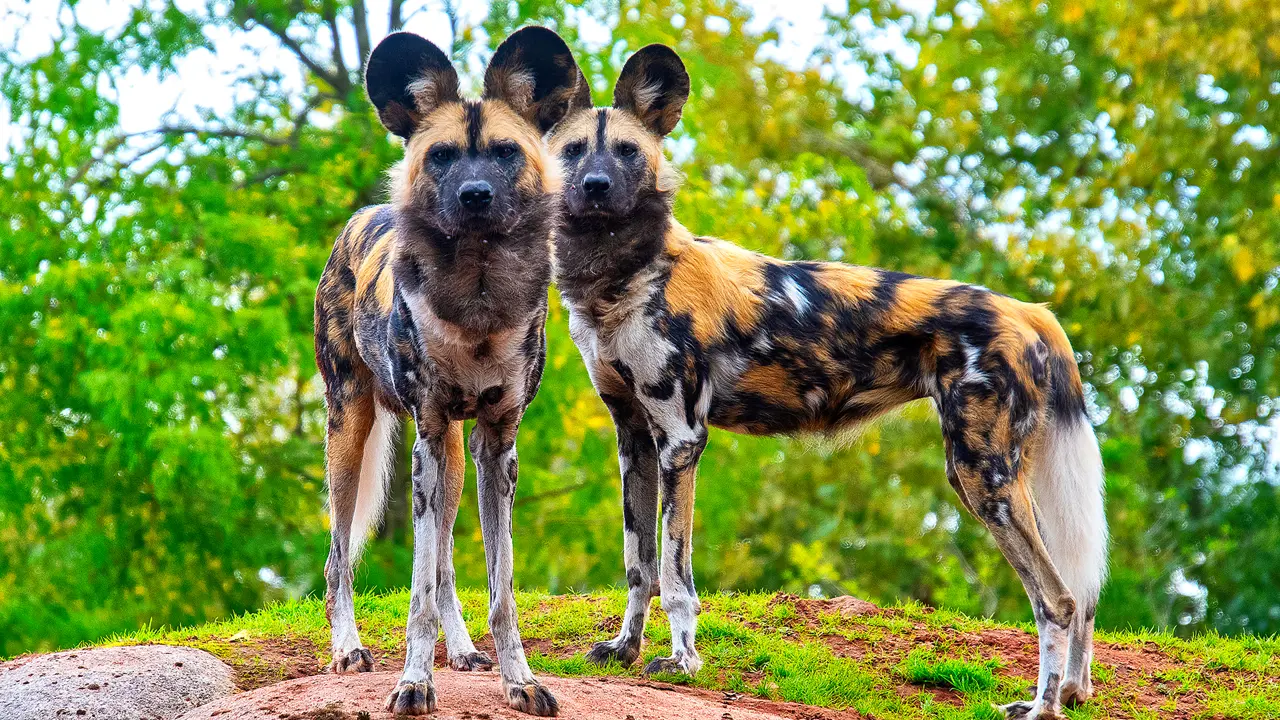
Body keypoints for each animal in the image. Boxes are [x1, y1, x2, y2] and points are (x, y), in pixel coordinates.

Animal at [314, 26, 588, 712]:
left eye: (505, 153)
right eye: (441, 157)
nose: (475, 196)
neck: (477, 301)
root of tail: (361, 216)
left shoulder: (498, 444)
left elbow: (500, 588)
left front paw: (520, 682)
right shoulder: (428, 439)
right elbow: (414, 596)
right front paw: (414, 684)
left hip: (457, 460)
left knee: (442, 565)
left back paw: (463, 650)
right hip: (350, 434)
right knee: (339, 558)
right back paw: (347, 650)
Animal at [550, 46, 1111, 717]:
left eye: (627, 152)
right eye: (573, 151)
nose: (596, 187)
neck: (623, 277)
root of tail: (1029, 310)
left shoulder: (681, 440)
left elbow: (675, 576)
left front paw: (682, 664)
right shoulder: (634, 438)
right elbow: (639, 564)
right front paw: (623, 650)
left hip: (984, 478)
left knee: (1057, 600)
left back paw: (1042, 705)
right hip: (1001, 478)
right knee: (1081, 592)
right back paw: (1073, 691)